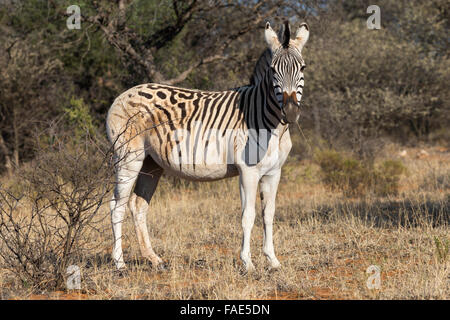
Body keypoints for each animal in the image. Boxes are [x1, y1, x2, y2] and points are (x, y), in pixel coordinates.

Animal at [106, 20, 310, 272]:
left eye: (302, 68)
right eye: (273, 71)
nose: (290, 113)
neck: (270, 125)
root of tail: (123, 94)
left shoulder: (274, 172)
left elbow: (269, 214)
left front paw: (272, 260)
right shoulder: (248, 171)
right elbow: (248, 215)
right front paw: (247, 263)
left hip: (151, 163)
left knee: (138, 206)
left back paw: (154, 259)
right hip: (128, 157)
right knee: (117, 205)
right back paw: (119, 263)